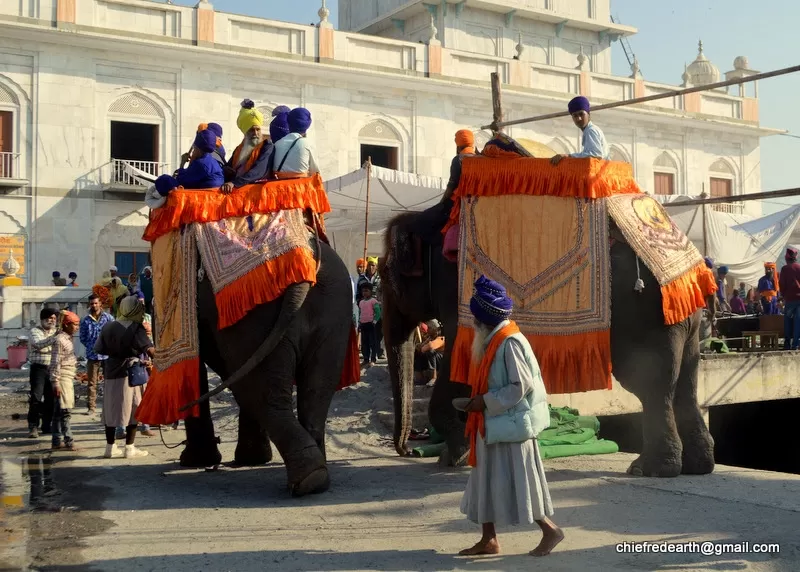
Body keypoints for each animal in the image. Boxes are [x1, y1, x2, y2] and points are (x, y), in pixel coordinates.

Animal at [173, 239, 352, 498]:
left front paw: (193, 461)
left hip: (254, 318)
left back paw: (306, 481)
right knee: (316, 391)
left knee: (256, 391)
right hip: (334, 308)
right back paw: (316, 479)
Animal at [378, 214, 716, 478]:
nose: (408, 449)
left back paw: (649, 470)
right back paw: (696, 467)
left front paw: (454, 458)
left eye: (384, 276)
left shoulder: (456, 289)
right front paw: (457, 454)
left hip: (646, 316)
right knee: (685, 381)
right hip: (683, 321)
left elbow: (458, 358)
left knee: (651, 385)